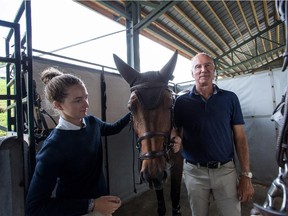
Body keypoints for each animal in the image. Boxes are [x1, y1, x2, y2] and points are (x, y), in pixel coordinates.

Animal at [112, 49, 182, 215]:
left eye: (170, 105)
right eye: (130, 108)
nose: (152, 172)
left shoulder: (177, 162)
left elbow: (175, 196)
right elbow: (161, 205)